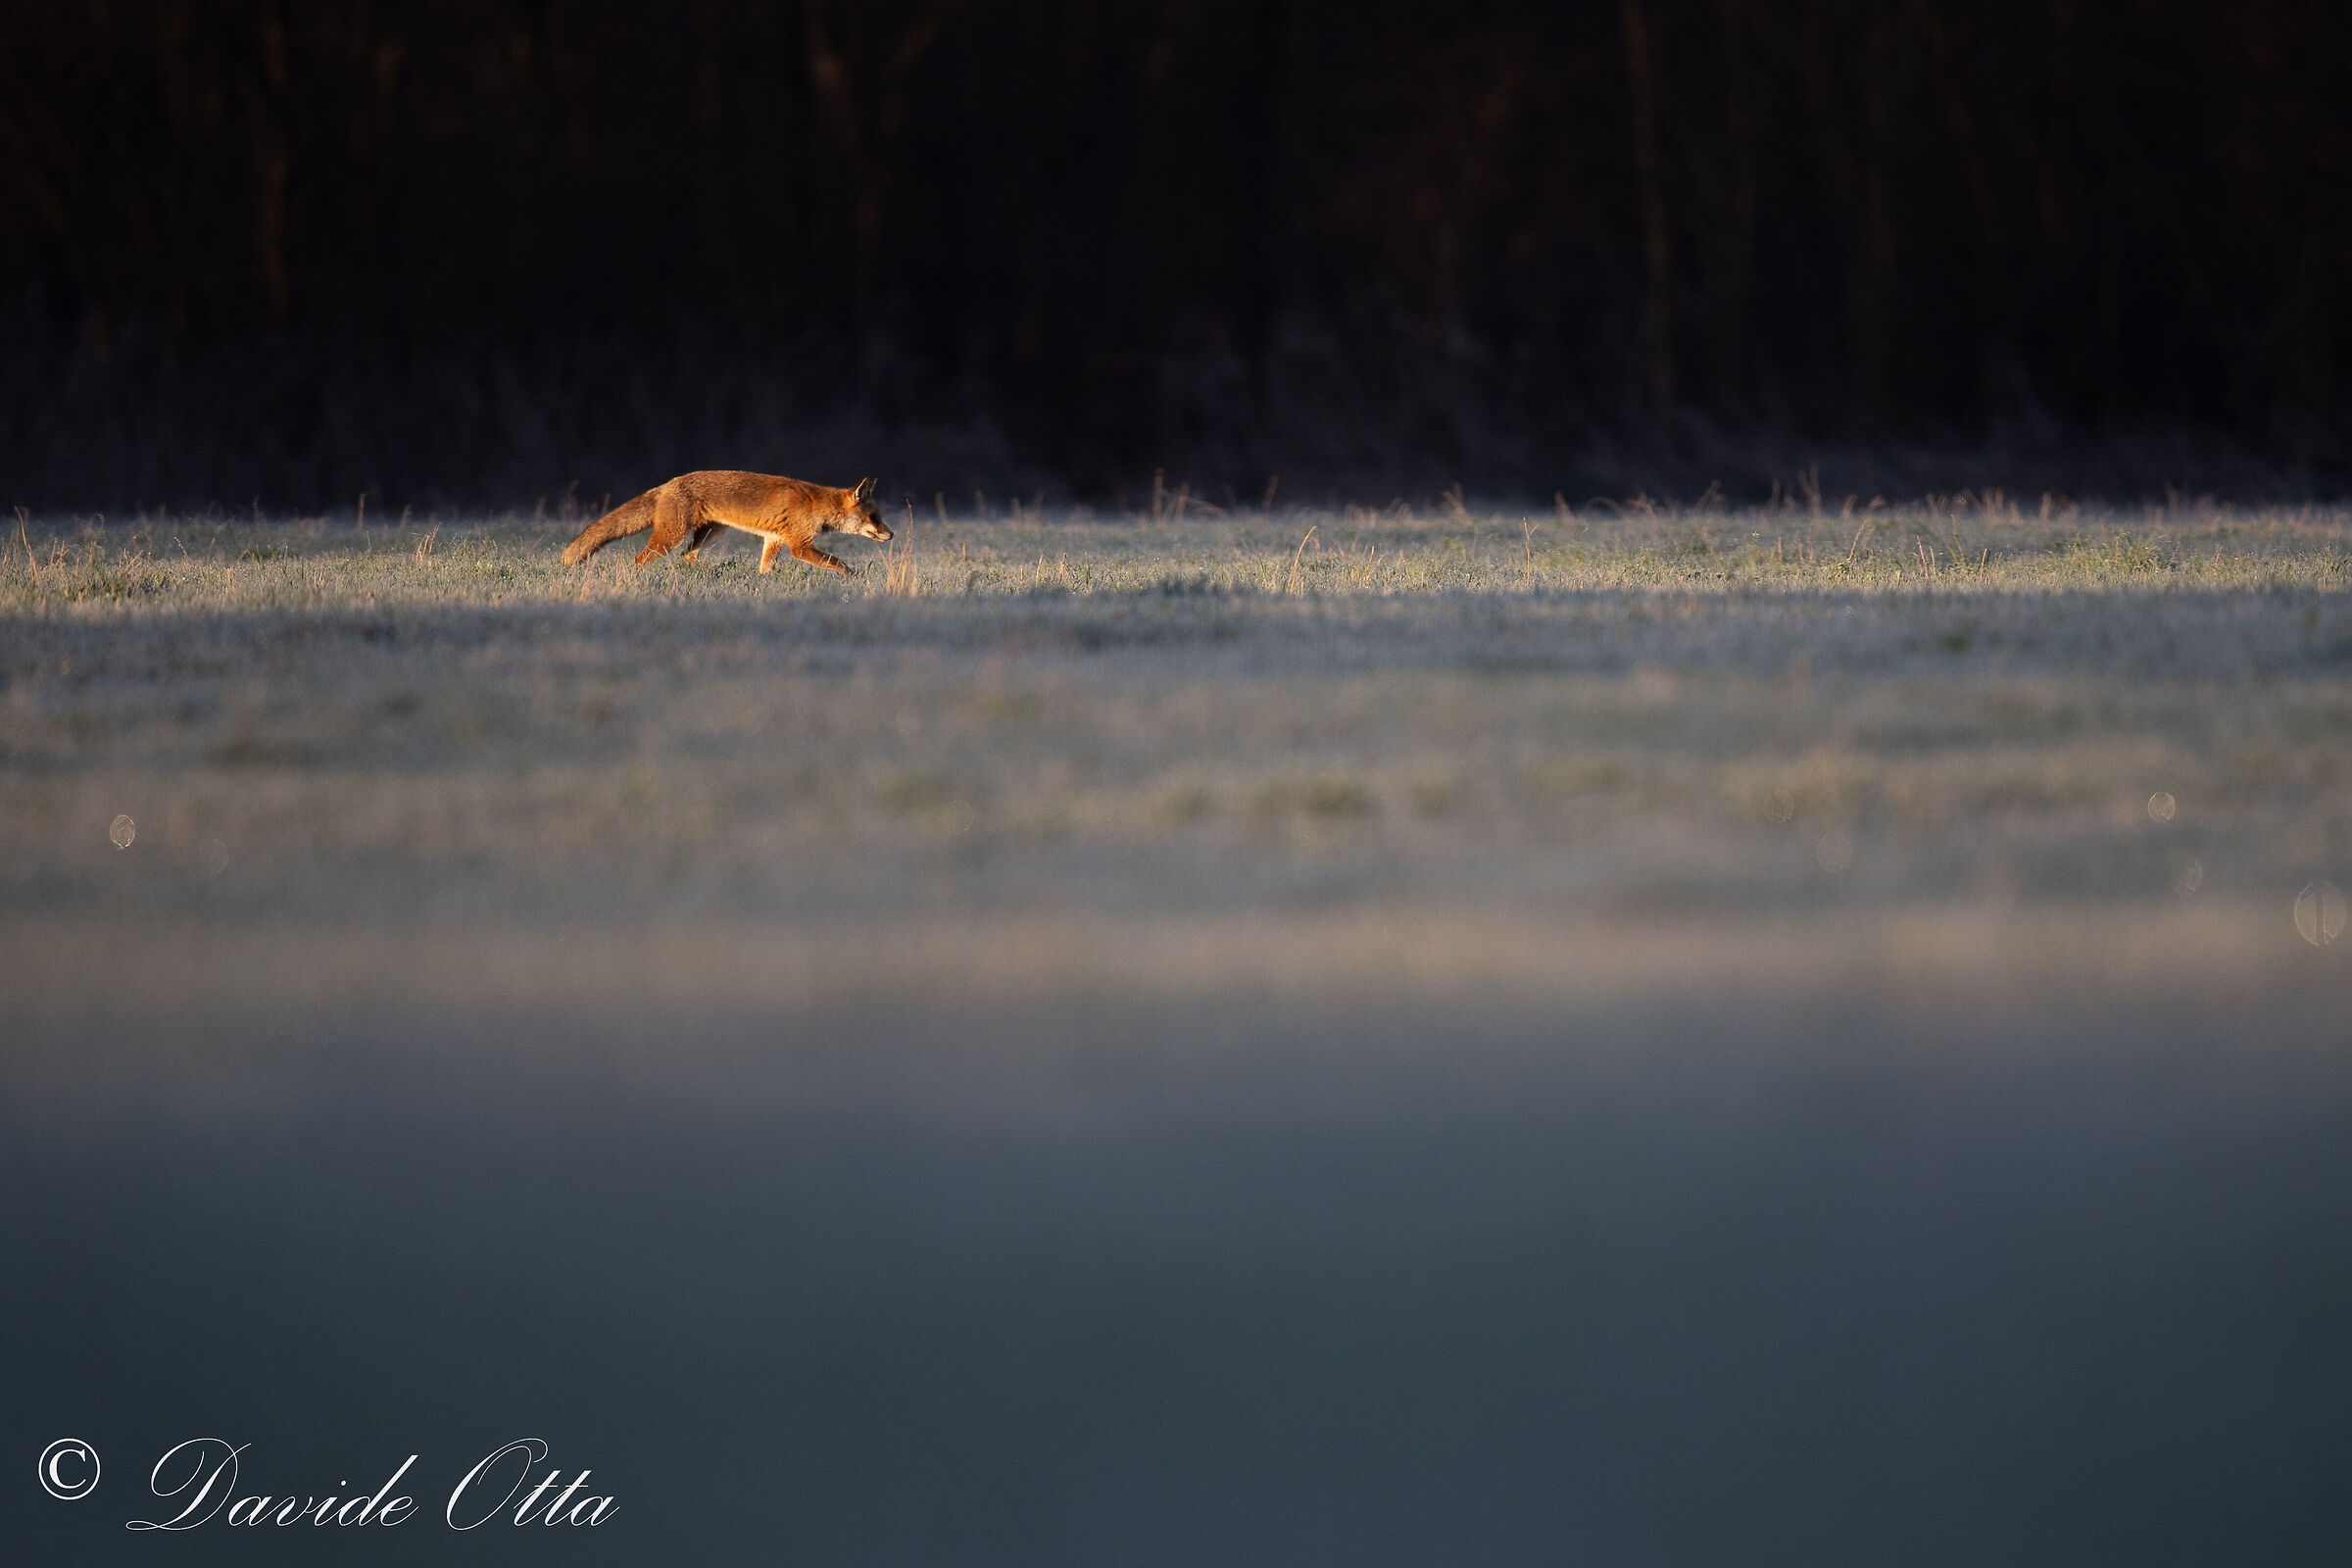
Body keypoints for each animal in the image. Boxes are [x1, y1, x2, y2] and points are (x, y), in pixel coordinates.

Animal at [561, 470, 894, 575]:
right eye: (874, 518)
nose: (891, 534)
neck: (817, 504)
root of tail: (668, 483)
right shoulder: (799, 545)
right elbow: (839, 562)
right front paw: (853, 578)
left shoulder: (774, 540)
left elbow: (765, 570)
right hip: (672, 536)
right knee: (639, 559)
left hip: (712, 533)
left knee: (689, 556)